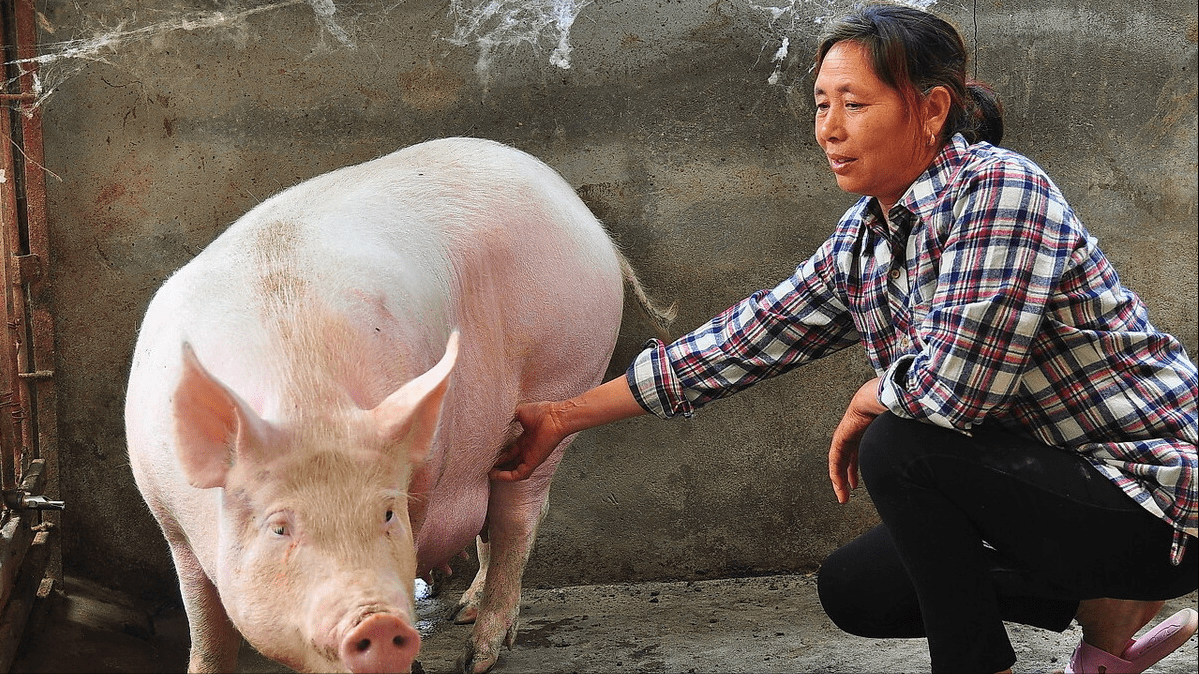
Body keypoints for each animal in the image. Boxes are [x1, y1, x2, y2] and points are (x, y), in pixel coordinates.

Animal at [125, 137, 671, 671]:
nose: (378, 623)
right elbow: (207, 632)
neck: (306, 401)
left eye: (387, 515)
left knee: (518, 517)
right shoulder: (172, 524)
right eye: (279, 527)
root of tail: (585, 217)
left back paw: (478, 656)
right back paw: (461, 611)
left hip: (562, 372)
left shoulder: (423, 478)